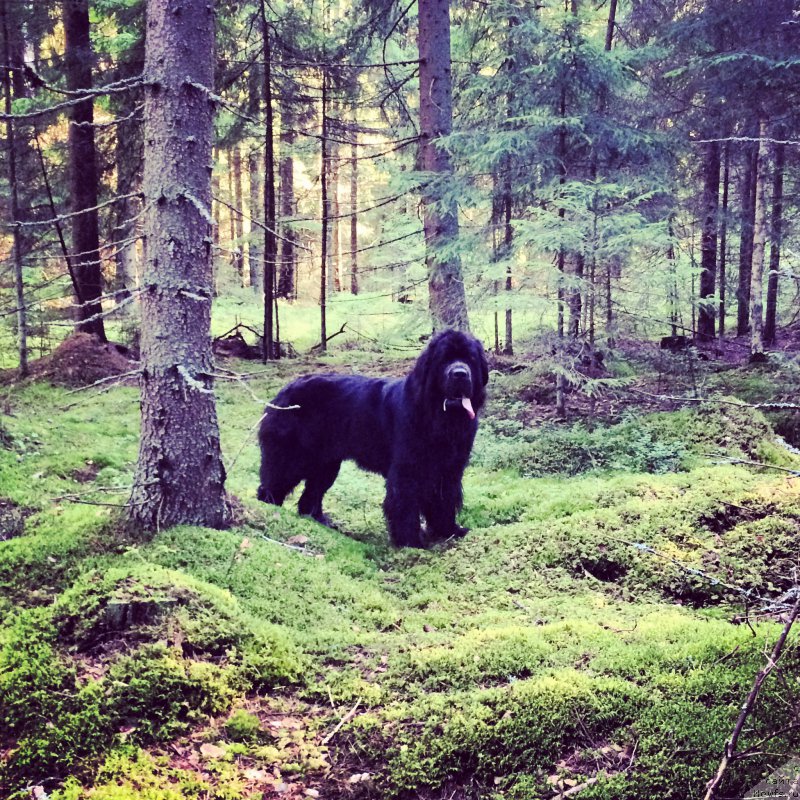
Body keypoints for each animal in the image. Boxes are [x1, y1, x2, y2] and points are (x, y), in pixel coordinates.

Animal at [260, 328, 490, 548]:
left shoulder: (449, 468)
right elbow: (404, 502)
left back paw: (320, 521)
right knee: (273, 483)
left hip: (326, 463)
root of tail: (283, 392)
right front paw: (411, 542)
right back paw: (269, 511)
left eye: (470, 358)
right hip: (291, 456)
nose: (460, 374)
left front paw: (449, 530)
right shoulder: (407, 468)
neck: (439, 418)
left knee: (312, 493)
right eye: (444, 359)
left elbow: (445, 499)